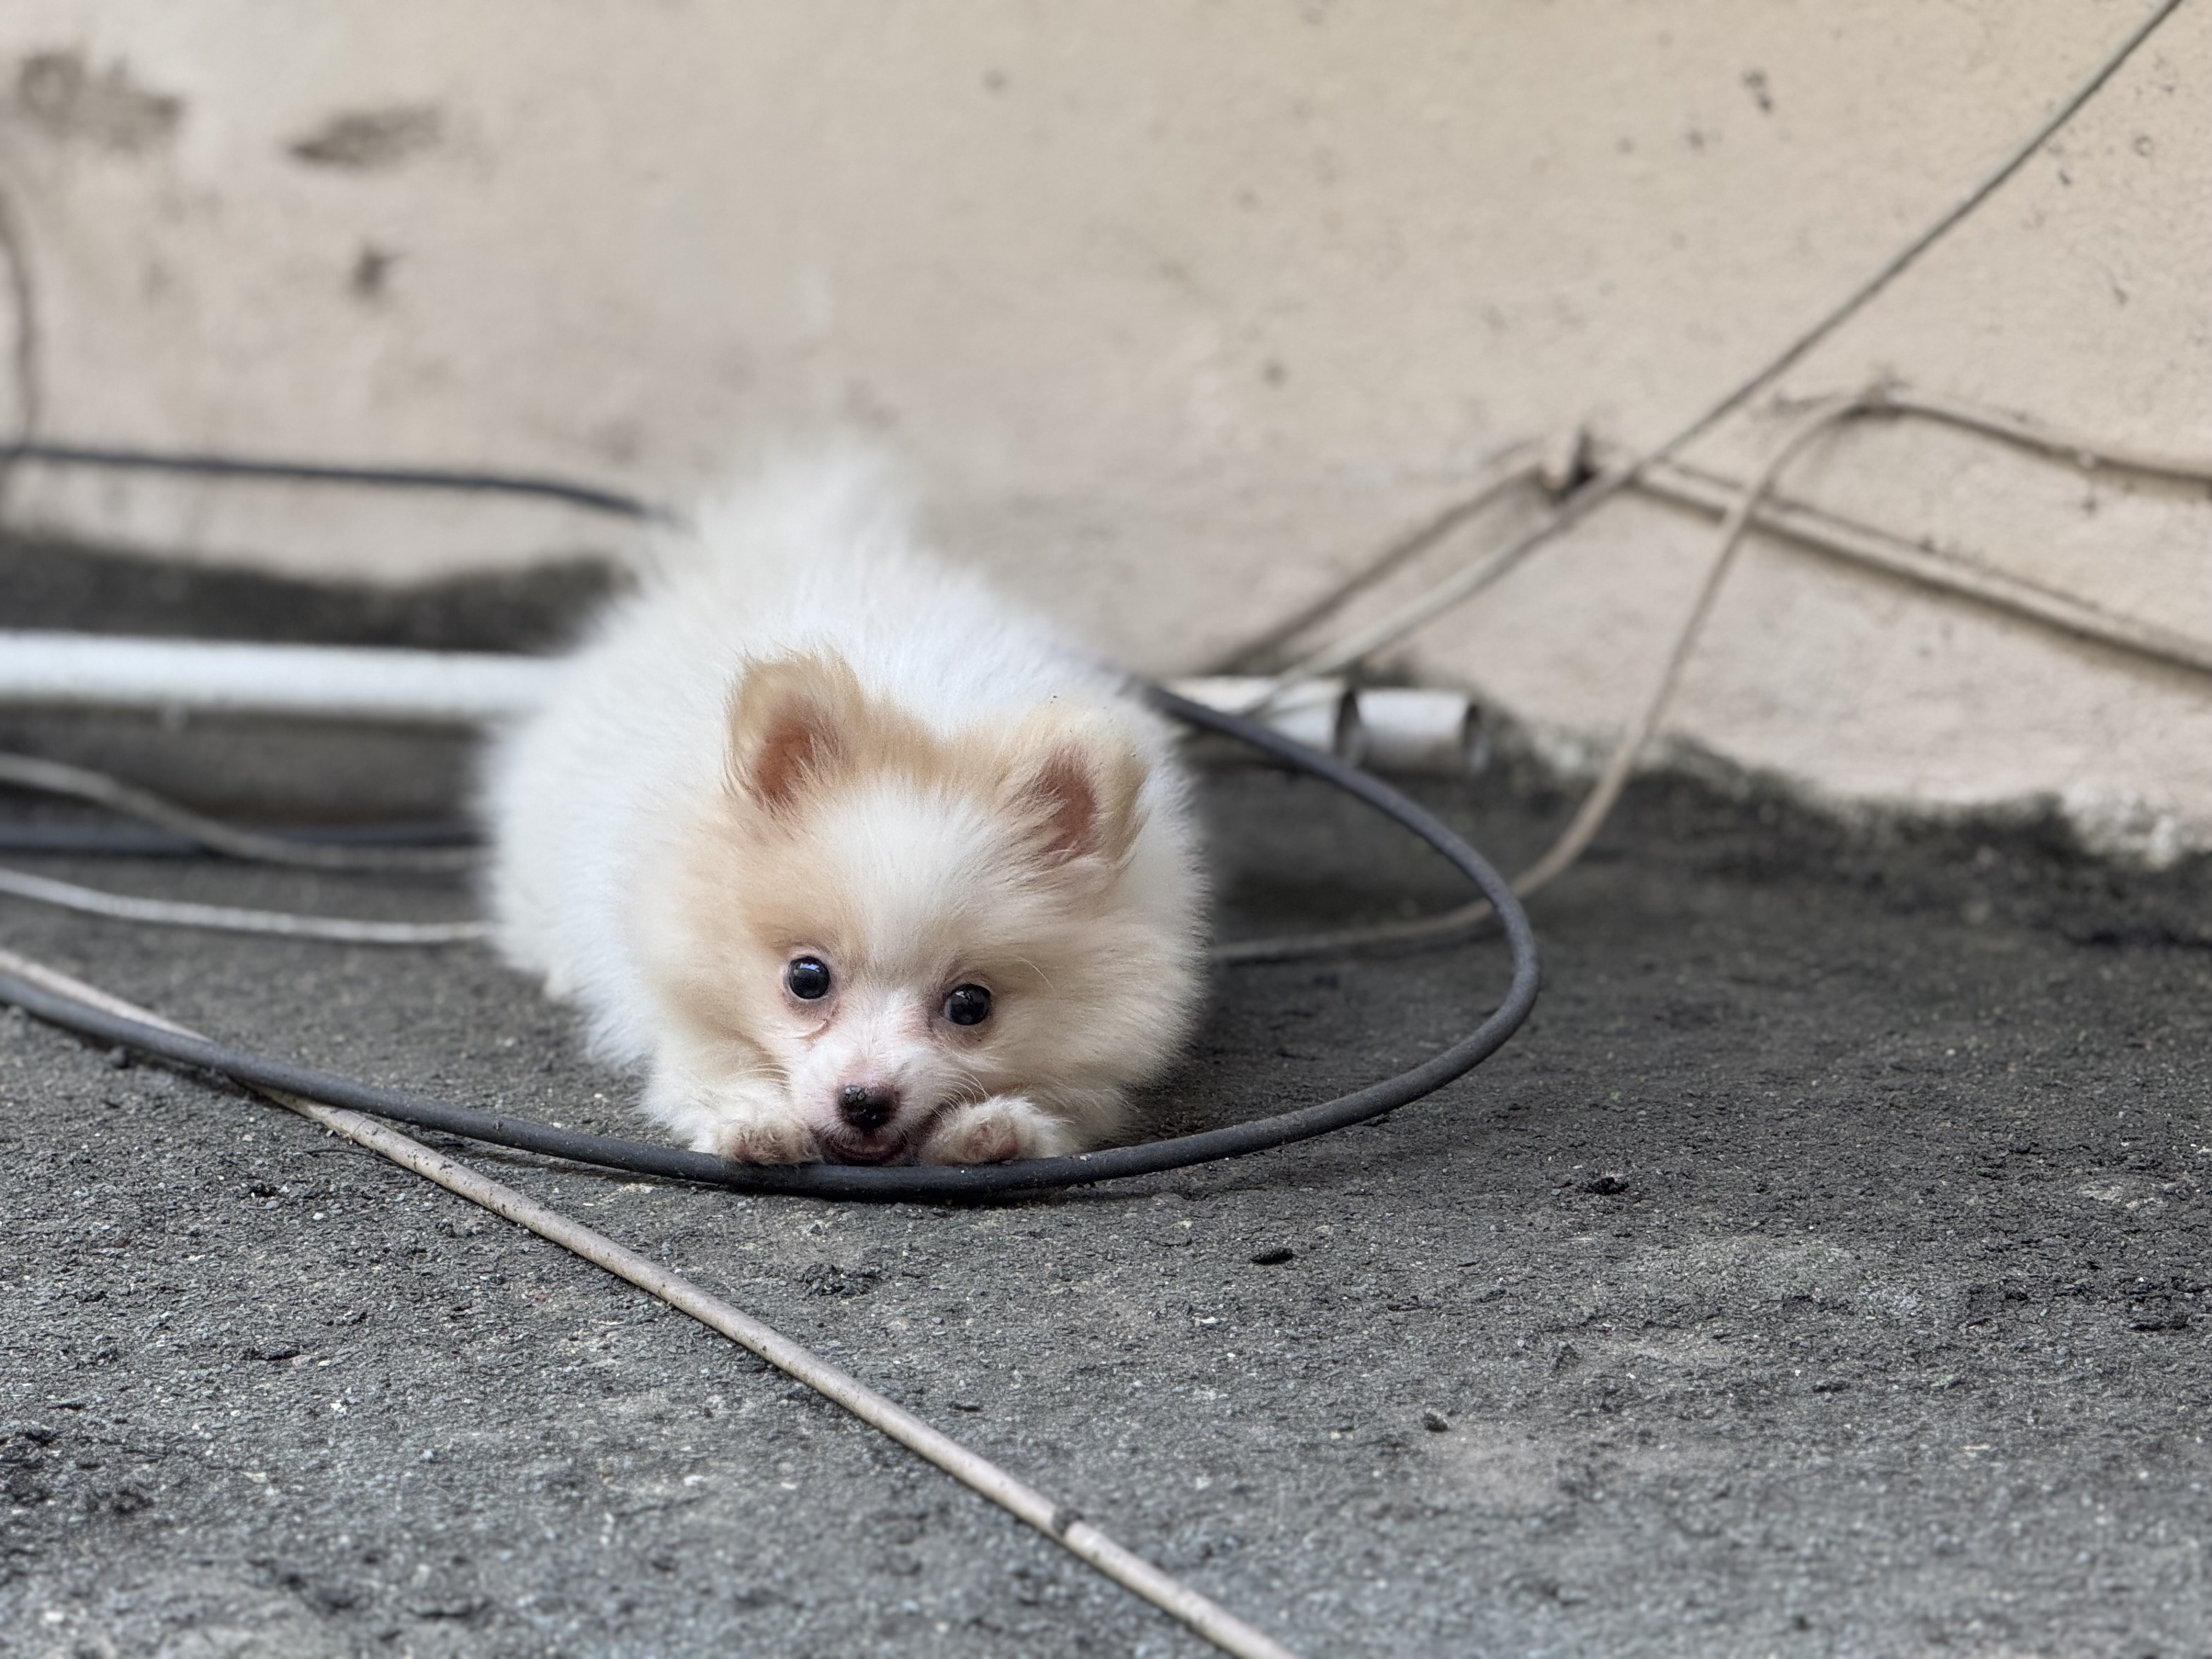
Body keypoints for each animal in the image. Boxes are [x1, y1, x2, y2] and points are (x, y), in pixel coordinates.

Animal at [482, 458, 1212, 1167]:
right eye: (808, 979)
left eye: (970, 1005)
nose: (865, 1101)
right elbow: (709, 1066)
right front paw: (756, 1123)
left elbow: (1069, 1102)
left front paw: (997, 1127)